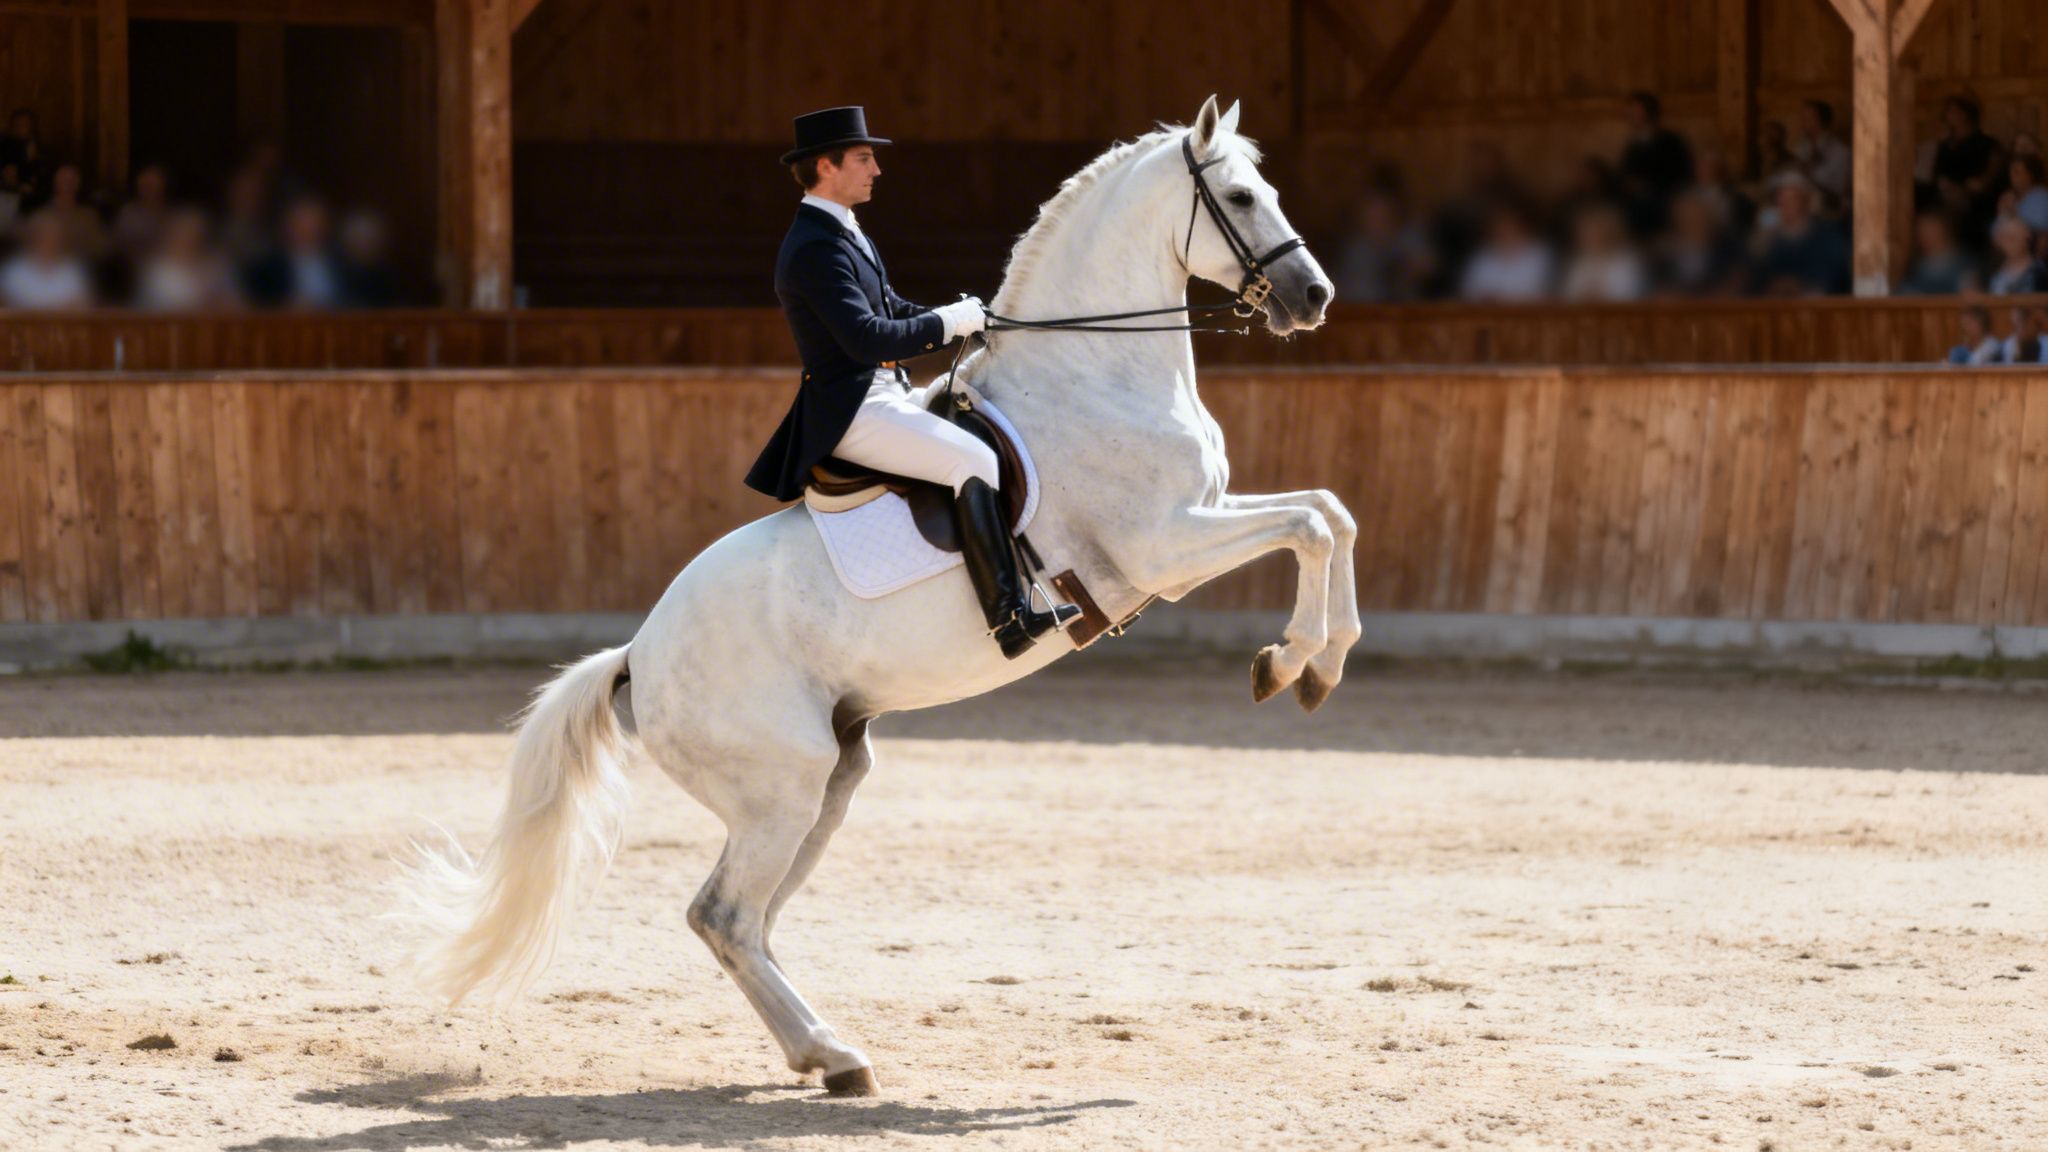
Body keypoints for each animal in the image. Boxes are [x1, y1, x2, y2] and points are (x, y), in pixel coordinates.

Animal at [399, 95, 1360, 1096]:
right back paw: (837, 1056)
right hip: (778, 788)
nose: (1315, 299)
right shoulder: (1164, 547)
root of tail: (639, 657)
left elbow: (1330, 514)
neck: (1092, 378)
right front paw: (1293, 662)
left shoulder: (1199, 521)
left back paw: (821, 1053)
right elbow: (1311, 526)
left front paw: (1316, 666)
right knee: (724, 915)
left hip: (830, 779)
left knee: (747, 922)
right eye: (1242, 197)